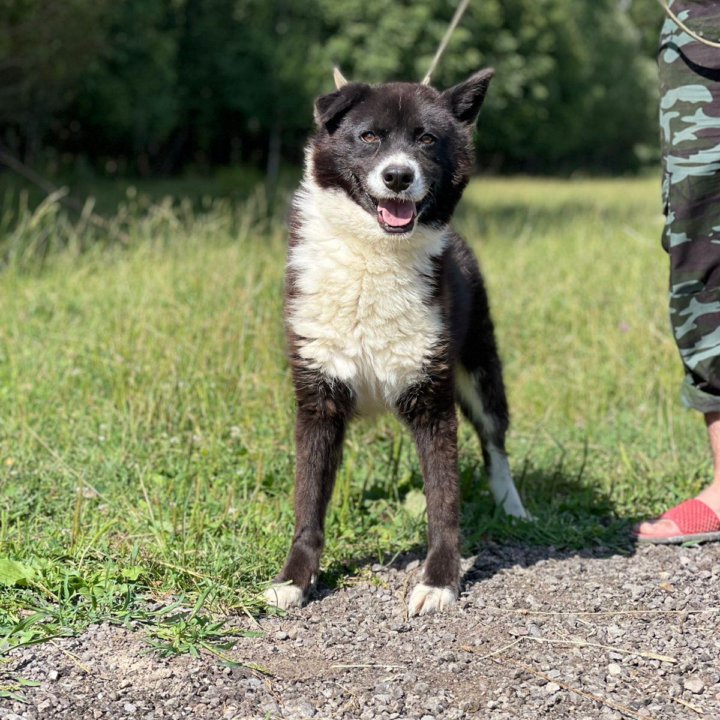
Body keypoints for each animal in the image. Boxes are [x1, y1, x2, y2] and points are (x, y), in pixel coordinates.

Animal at [264, 67, 528, 616]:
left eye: (426, 140)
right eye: (369, 136)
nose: (399, 177)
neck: (374, 255)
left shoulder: (433, 403)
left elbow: (444, 504)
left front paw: (441, 581)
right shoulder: (318, 401)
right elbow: (308, 505)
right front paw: (295, 579)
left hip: (481, 372)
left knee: (495, 442)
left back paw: (511, 505)